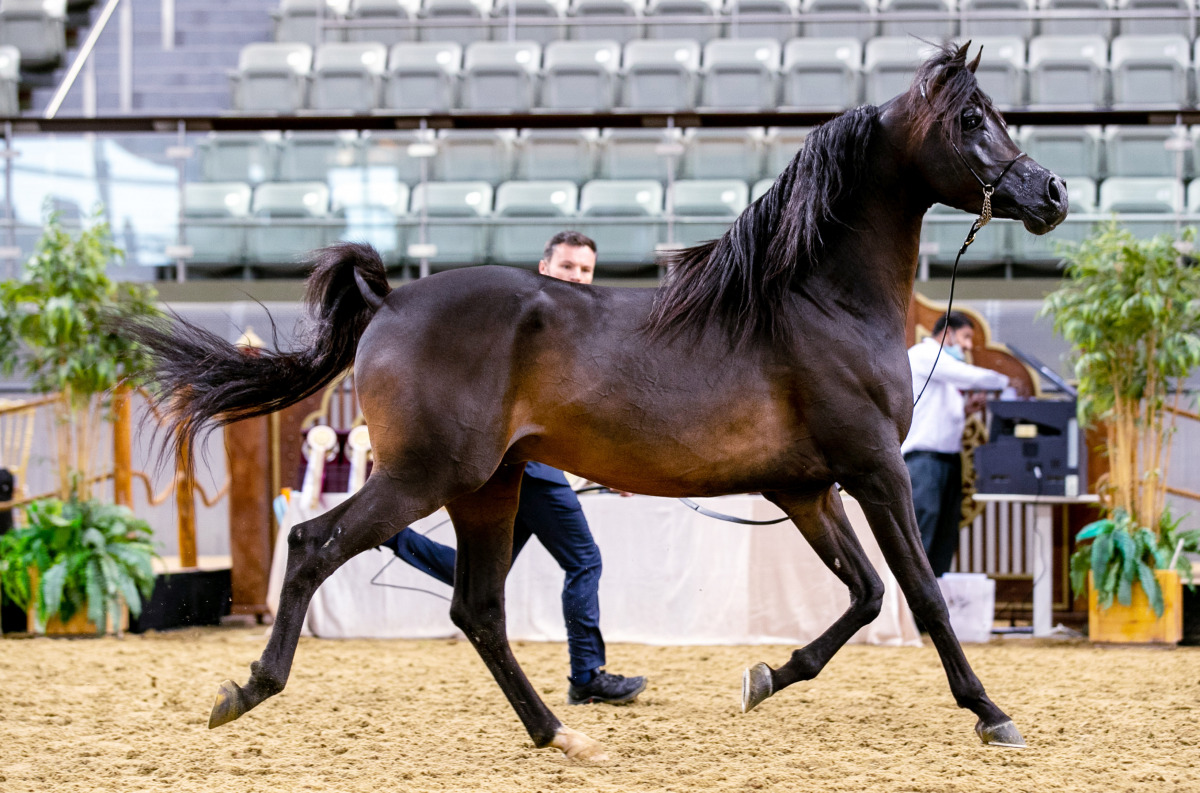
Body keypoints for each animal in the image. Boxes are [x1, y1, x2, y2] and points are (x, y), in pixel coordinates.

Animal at [125, 42, 1067, 762]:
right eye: (974, 119)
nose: (1052, 193)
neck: (819, 300)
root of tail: (388, 302)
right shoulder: (874, 470)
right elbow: (923, 593)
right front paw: (992, 713)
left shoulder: (803, 487)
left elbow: (868, 594)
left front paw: (765, 677)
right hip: (428, 475)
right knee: (317, 544)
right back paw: (247, 689)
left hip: (488, 488)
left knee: (477, 609)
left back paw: (560, 734)